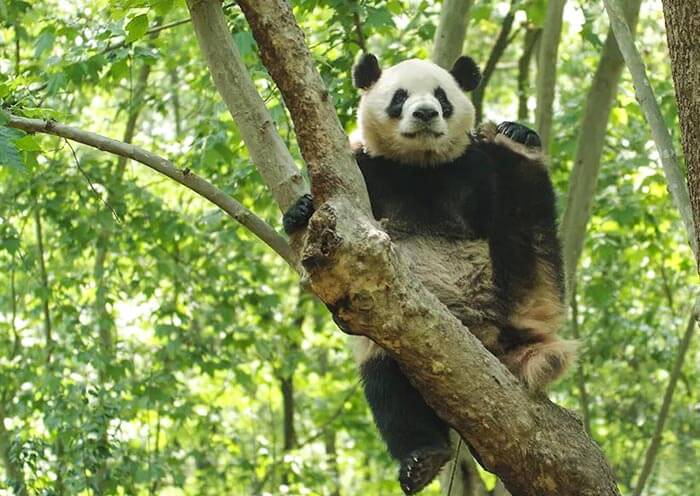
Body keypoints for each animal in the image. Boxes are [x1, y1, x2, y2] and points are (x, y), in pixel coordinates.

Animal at [283, 53, 576, 495]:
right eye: (399, 97)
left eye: (442, 96)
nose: (424, 113)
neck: (419, 166)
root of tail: (490, 342)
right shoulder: (366, 172)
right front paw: (299, 209)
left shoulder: (469, 170)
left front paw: (517, 131)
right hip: (395, 347)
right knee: (387, 386)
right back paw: (423, 458)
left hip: (512, 282)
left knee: (530, 227)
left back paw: (517, 148)